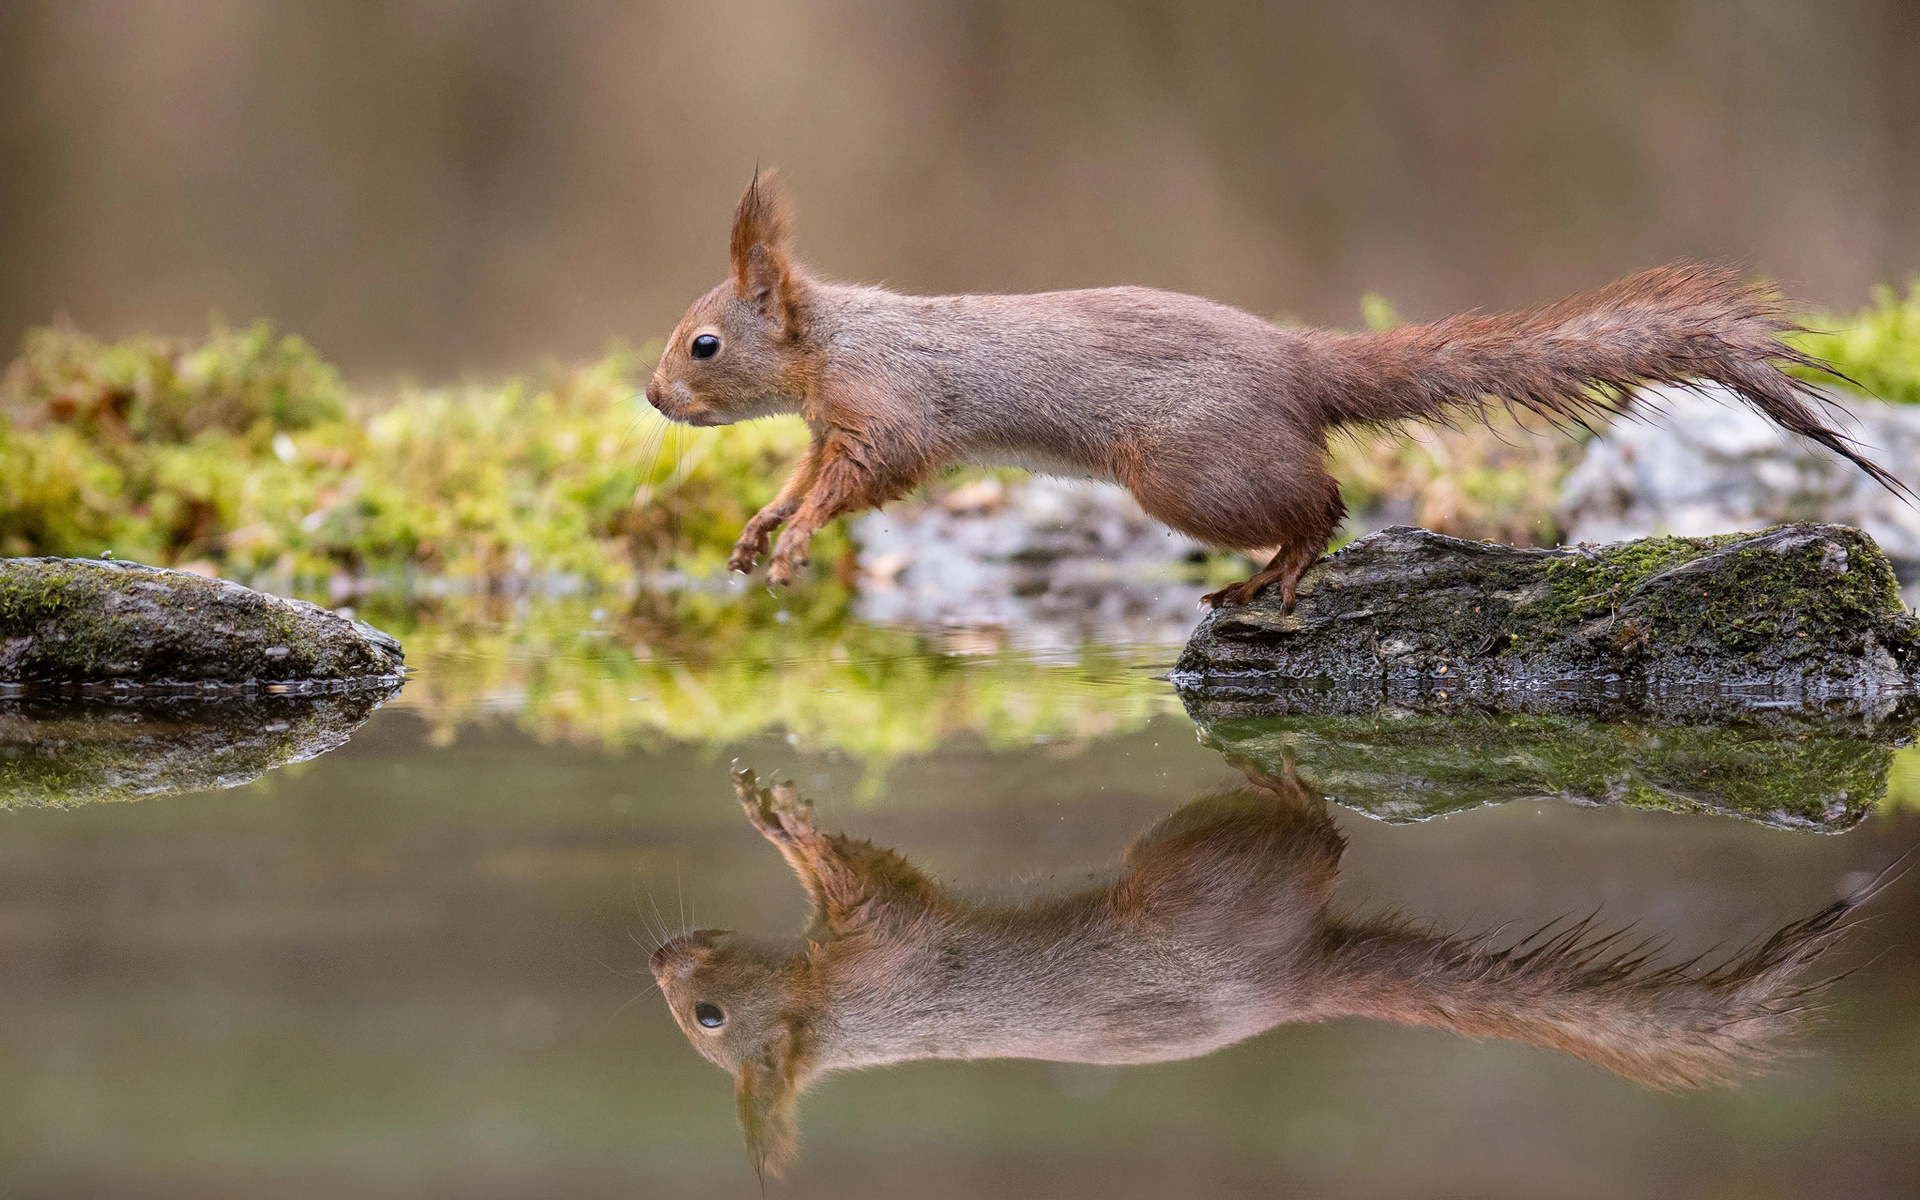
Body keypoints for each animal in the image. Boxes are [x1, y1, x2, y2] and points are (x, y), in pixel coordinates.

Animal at [648, 168, 1904, 606]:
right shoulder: (833, 425)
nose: (655, 400)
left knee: (1325, 505)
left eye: (703, 344)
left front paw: (796, 541)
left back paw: (1280, 569)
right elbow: (806, 473)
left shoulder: (895, 411)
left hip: (1185, 471)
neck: (833, 342)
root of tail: (1293, 365)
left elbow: (866, 476)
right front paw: (761, 528)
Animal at [652, 764, 1896, 1175]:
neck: (839, 1009)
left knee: (1308, 837)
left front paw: (778, 822)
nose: (657, 952)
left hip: (1193, 884)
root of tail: (1297, 976)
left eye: (706, 1017)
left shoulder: (891, 945)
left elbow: (857, 871)